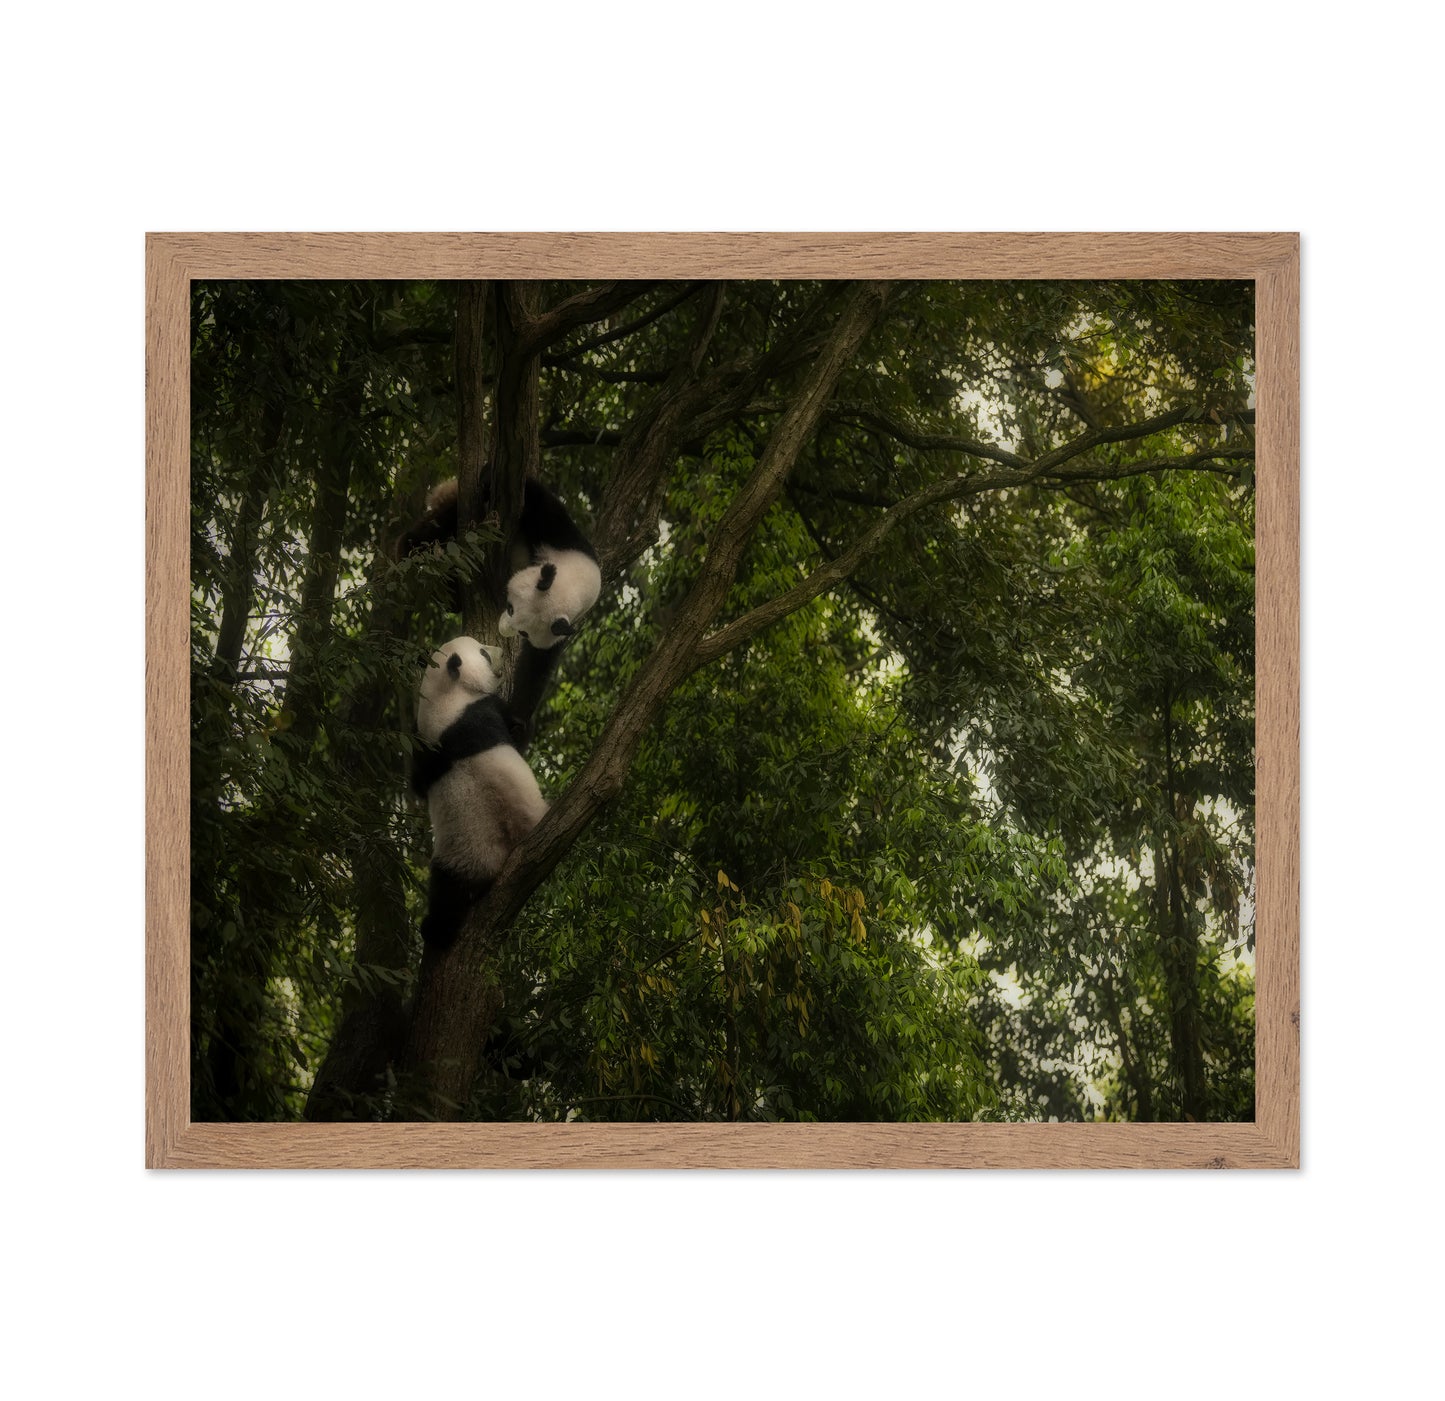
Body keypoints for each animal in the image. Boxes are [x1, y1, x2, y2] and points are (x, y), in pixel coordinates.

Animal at [411, 636, 549, 951]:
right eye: (485, 653)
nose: (503, 653)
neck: (445, 694)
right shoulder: (482, 711)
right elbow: (516, 733)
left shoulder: (424, 748)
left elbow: (418, 783)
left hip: (457, 856)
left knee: (446, 889)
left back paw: (435, 931)